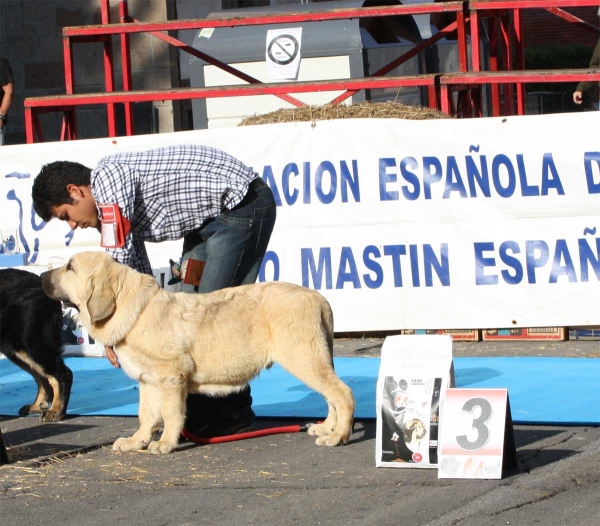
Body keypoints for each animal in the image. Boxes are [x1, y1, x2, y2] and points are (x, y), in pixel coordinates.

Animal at [0, 270, 72, 422]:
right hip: (20, 350)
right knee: (42, 378)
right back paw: (38, 405)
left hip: (32, 345)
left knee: (63, 374)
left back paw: (56, 411)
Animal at [44, 252, 354, 454]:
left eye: (70, 267)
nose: (41, 276)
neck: (131, 307)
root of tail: (319, 298)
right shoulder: (148, 380)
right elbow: (146, 415)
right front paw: (136, 442)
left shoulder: (171, 377)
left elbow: (170, 414)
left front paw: (165, 443)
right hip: (315, 359)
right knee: (331, 396)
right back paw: (326, 428)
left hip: (304, 358)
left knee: (342, 393)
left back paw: (338, 435)